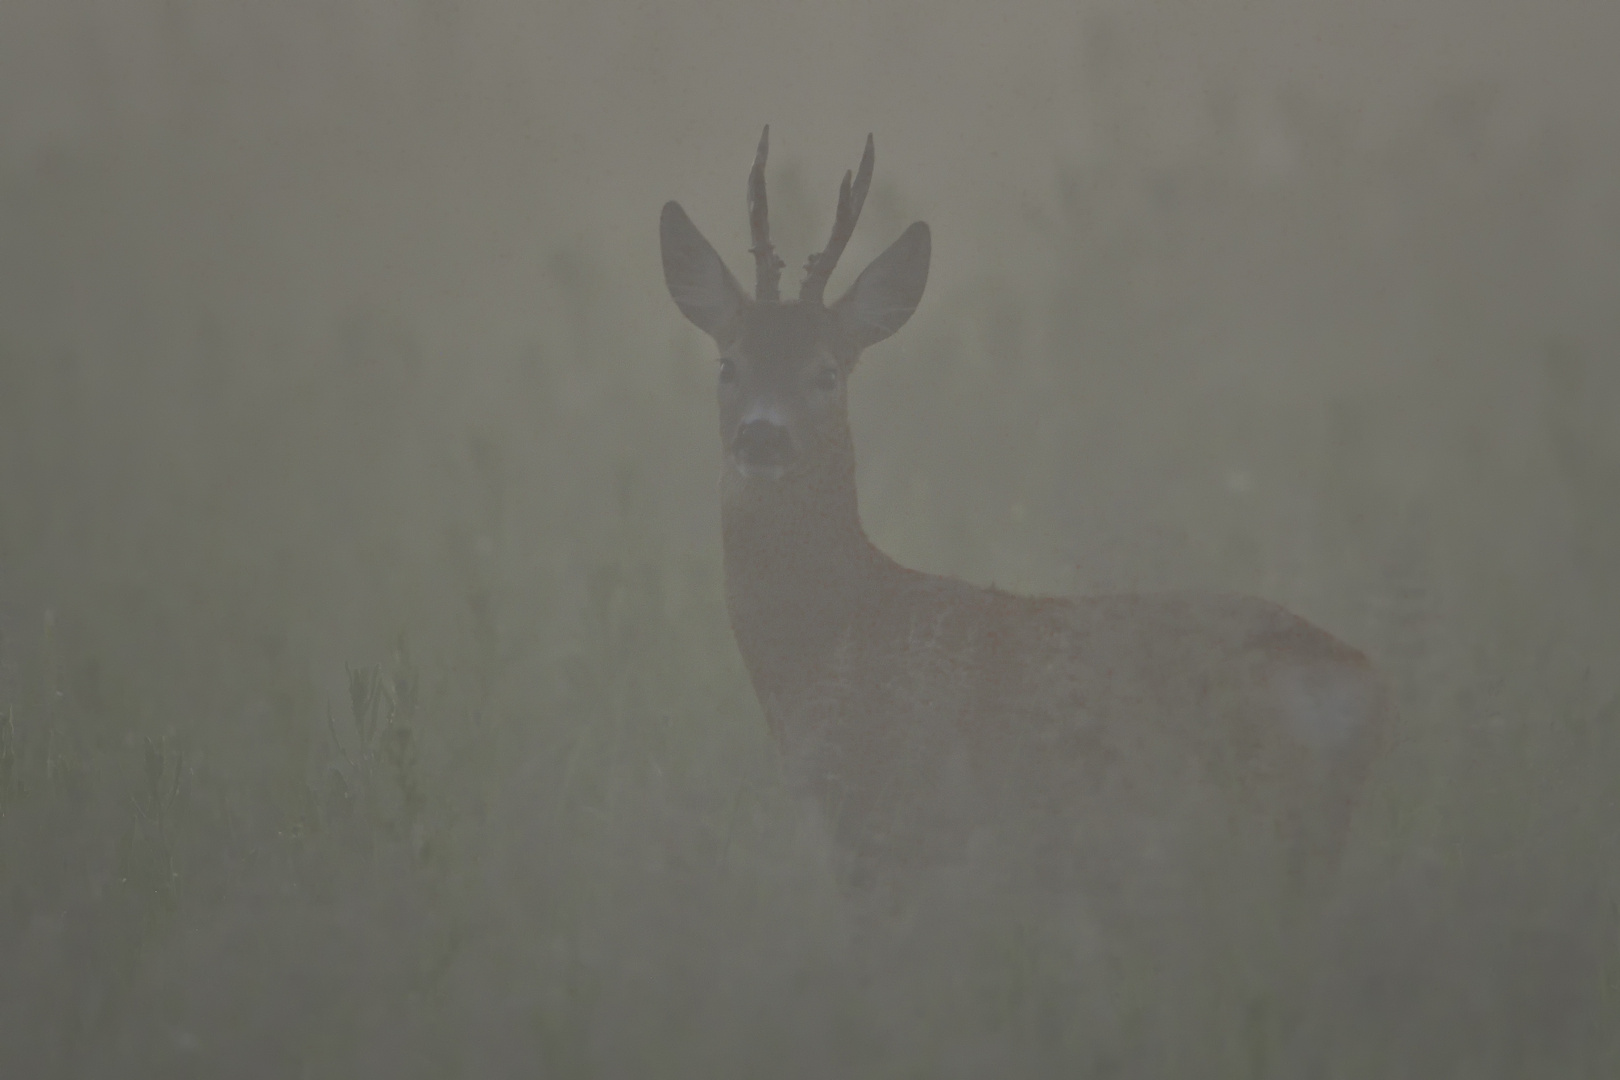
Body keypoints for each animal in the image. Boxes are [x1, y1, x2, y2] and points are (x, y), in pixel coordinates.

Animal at [657, 127, 1393, 919]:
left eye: (827, 372)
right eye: (727, 364)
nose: (762, 437)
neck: (828, 642)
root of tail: (1357, 678)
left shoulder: (889, 833)